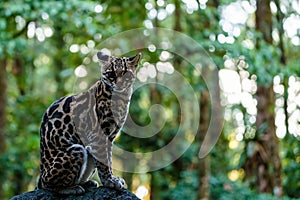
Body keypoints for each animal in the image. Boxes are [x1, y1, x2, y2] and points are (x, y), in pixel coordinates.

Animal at [37, 52, 142, 195]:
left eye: (125, 73)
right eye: (111, 74)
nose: (119, 84)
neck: (122, 97)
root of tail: (41, 173)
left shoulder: (110, 136)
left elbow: (108, 158)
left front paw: (112, 178)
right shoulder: (99, 135)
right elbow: (104, 163)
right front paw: (110, 181)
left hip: (88, 148)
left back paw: (86, 183)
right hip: (76, 150)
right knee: (48, 184)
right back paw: (71, 188)